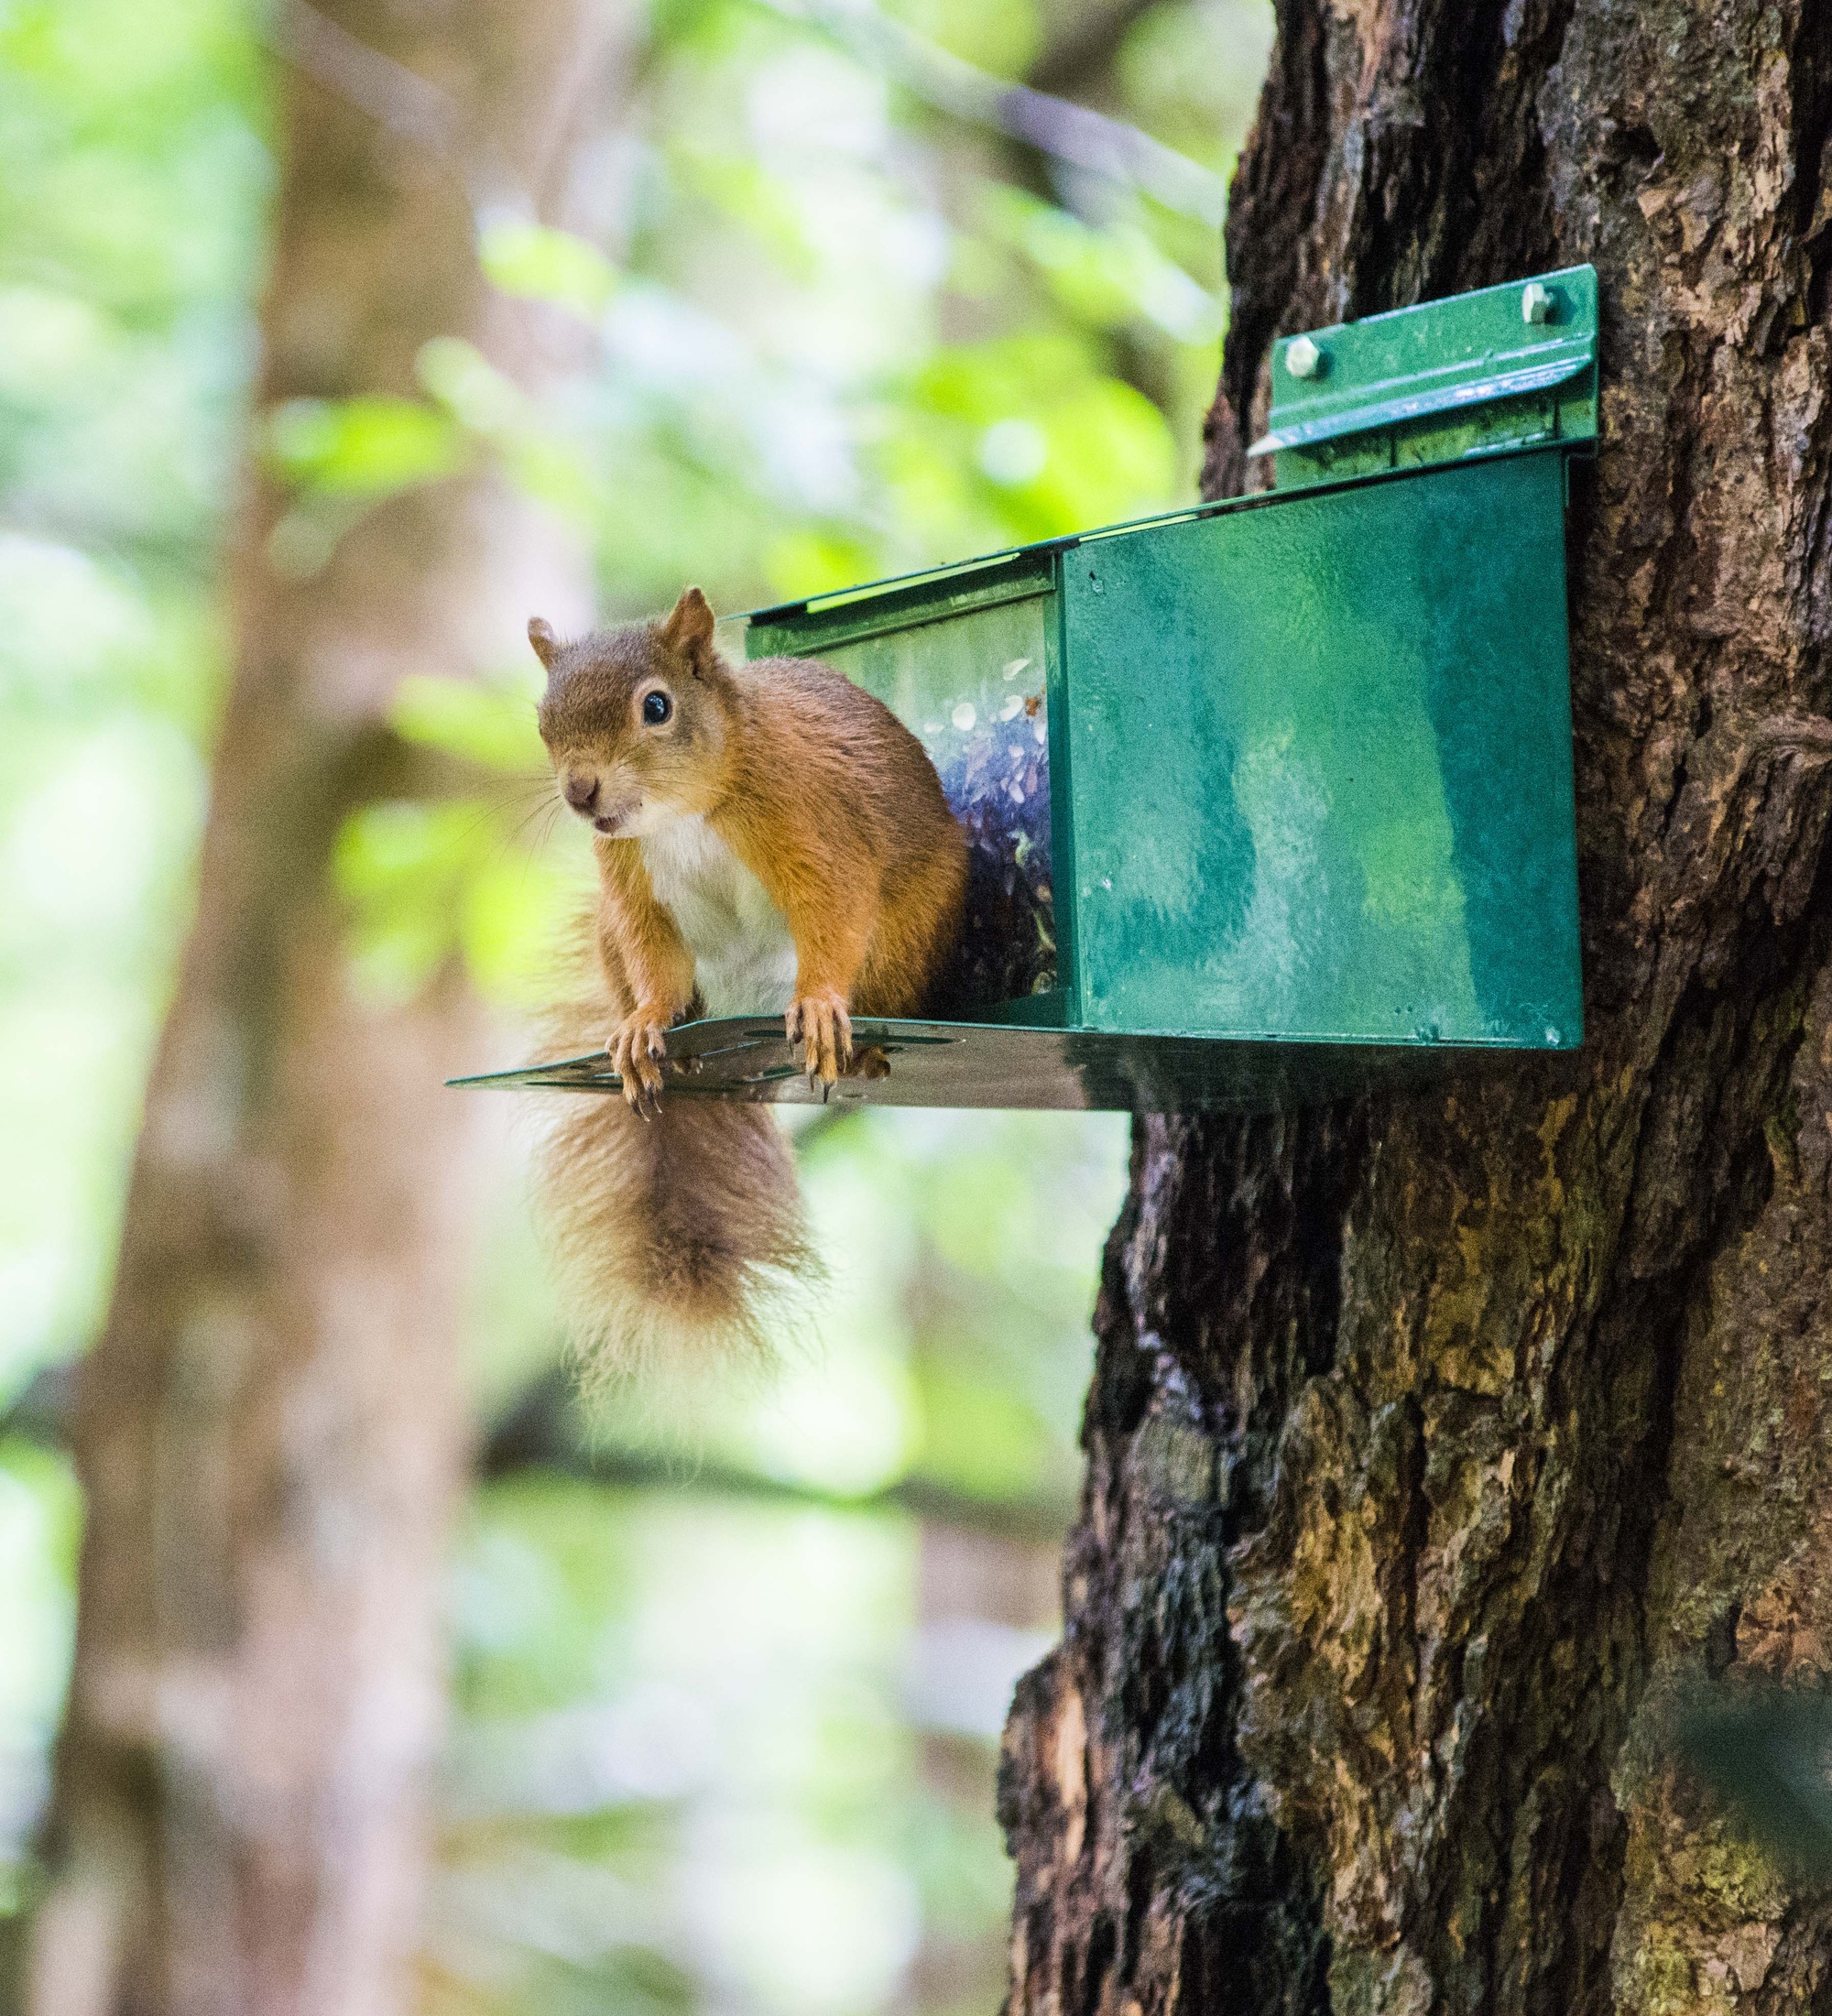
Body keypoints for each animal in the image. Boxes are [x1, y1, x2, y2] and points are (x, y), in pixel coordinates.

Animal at [527, 584, 969, 1370]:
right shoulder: (632, 887)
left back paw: (863, 1047)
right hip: (610, 932)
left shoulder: (816, 826)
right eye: (542, 721)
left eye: (657, 706)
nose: (581, 791)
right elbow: (655, 959)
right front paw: (645, 1022)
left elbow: (834, 907)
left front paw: (820, 1005)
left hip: (906, 936)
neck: (681, 814)